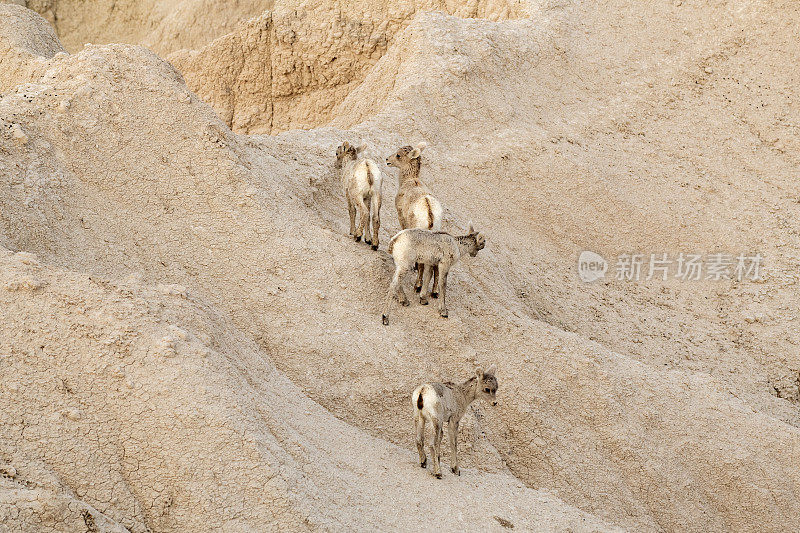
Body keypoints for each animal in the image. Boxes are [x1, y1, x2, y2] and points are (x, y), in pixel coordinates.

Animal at [382, 143, 440, 296]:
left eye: (398, 155)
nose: (387, 160)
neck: (409, 181)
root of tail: (430, 217)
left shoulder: (401, 218)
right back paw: (435, 292)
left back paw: (418, 286)